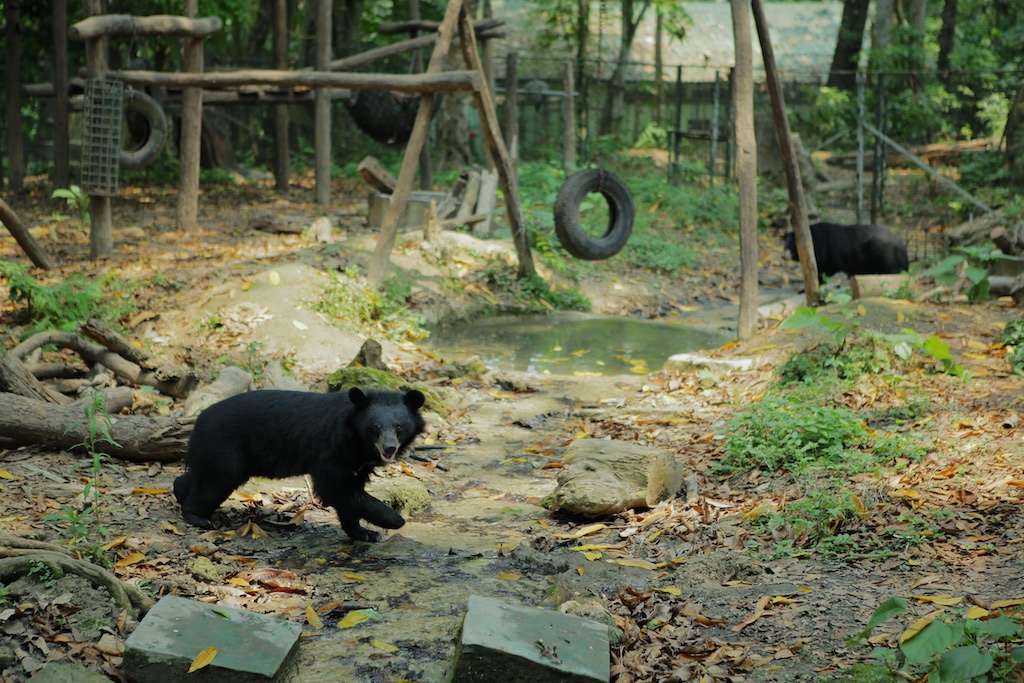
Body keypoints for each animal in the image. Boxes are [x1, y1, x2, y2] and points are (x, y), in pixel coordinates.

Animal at [174, 387, 425, 540]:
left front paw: (364, 533)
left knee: (200, 476)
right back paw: (199, 517)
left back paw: (180, 492)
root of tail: (198, 421)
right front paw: (394, 520)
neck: (357, 441)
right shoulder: (330, 449)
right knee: (215, 481)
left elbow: (350, 494)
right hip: (226, 448)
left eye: (399, 426)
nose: (389, 448)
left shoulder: (357, 462)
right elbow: (336, 489)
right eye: (375, 427)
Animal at [782, 222, 913, 280]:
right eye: (784, 244)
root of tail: (902, 246)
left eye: (791, 245)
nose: (783, 256)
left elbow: (825, 269)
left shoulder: (828, 254)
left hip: (886, 257)